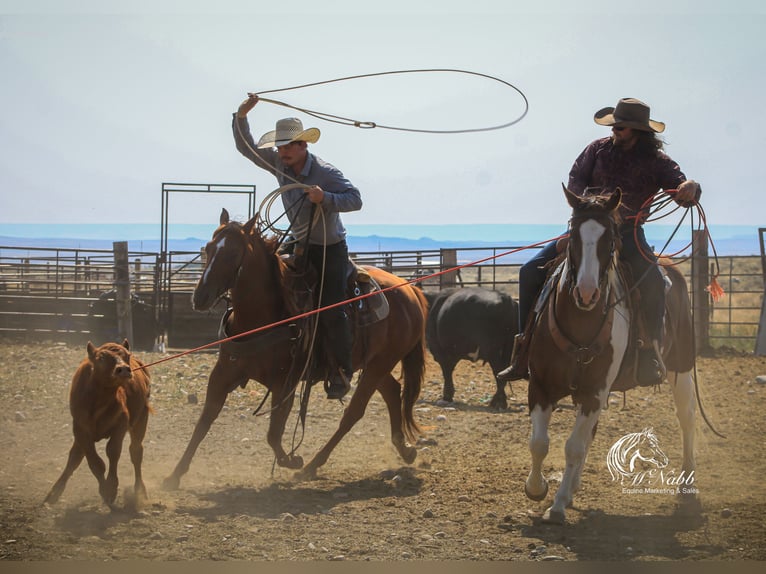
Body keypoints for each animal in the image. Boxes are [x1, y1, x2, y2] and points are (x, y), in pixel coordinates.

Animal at [45, 342, 154, 508]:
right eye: (101, 357)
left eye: (127, 355)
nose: (124, 369)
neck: (98, 399)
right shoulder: (80, 429)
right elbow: (94, 462)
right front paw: (105, 490)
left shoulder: (121, 424)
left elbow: (113, 451)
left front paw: (110, 488)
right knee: (75, 457)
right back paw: (54, 492)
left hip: (141, 419)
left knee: (135, 452)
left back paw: (140, 490)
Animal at [163, 209, 428, 488]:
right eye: (208, 248)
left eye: (234, 254)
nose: (200, 297)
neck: (262, 317)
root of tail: (411, 290)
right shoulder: (223, 374)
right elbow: (204, 421)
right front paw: (174, 475)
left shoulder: (285, 382)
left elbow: (273, 433)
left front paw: (292, 460)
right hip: (373, 363)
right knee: (393, 391)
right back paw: (406, 450)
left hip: (381, 363)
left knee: (354, 412)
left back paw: (311, 465)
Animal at [524, 189, 700, 528]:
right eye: (574, 237)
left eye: (610, 240)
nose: (587, 292)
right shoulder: (540, 386)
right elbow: (540, 443)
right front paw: (537, 489)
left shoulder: (594, 391)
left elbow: (574, 447)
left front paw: (558, 506)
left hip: (681, 365)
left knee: (686, 417)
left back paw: (688, 486)